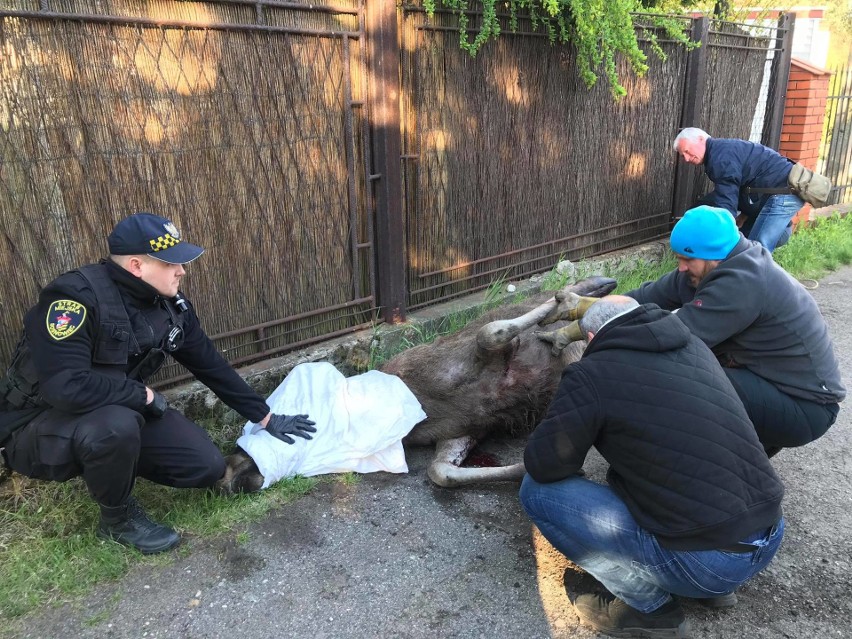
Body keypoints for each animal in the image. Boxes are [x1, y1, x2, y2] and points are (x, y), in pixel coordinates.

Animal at [218, 276, 620, 496]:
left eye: (235, 459)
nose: (227, 483)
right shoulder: (464, 428)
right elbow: (441, 472)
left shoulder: (472, 353)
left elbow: (494, 330)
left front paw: (564, 307)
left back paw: (592, 288)